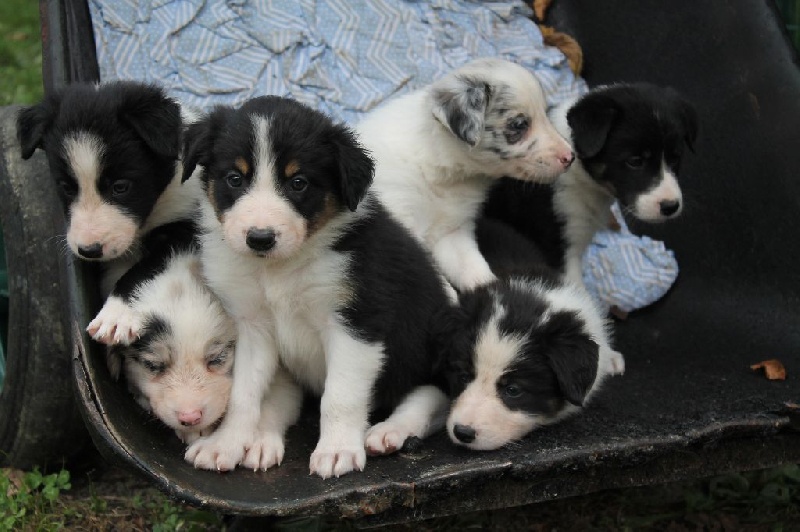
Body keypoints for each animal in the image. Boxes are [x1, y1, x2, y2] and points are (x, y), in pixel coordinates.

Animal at [182, 95, 456, 478]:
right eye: (235, 178)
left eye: (298, 183)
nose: (260, 238)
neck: (279, 269)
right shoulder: (253, 326)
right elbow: (243, 394)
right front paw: (225, 443)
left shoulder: (355, 322)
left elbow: (339, 397)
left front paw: (337, 450)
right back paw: (262, 442)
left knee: (433, 396)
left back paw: (391, 430)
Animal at [356, 57, 576, 296]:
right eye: (519, 124)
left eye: (545, 114)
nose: (570, 156)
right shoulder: (401, 218)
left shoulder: (453, 233)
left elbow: (473, 272)